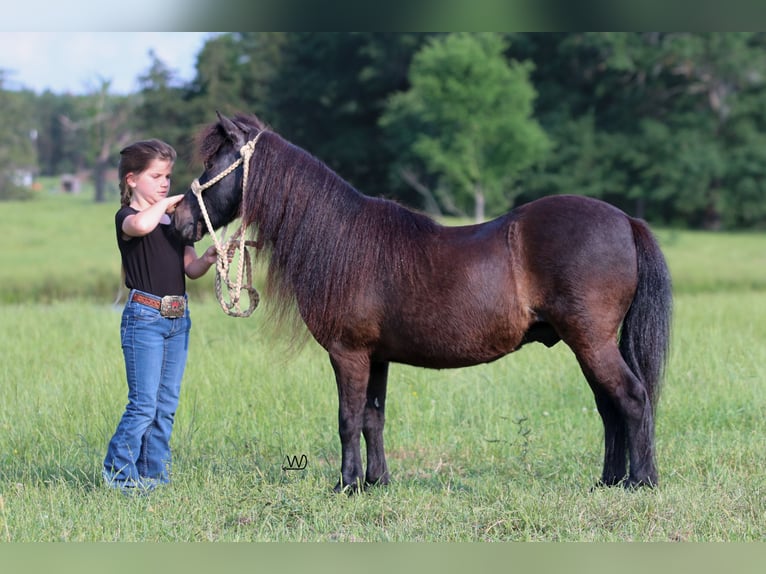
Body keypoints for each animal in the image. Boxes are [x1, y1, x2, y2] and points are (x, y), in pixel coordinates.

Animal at [174, 111, 672, 490]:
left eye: (215, 163)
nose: (179, 219)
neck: (342, 240)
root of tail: (626, 220)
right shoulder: (376, 357)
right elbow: (372, 418)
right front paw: (377, 482)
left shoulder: (347, 353)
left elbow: (347, 418)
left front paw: (346, 484)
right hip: (586, 344)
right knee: (609, 407)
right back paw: (608, 481)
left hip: (592, 341)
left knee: (631, 398)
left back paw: (641, 482)